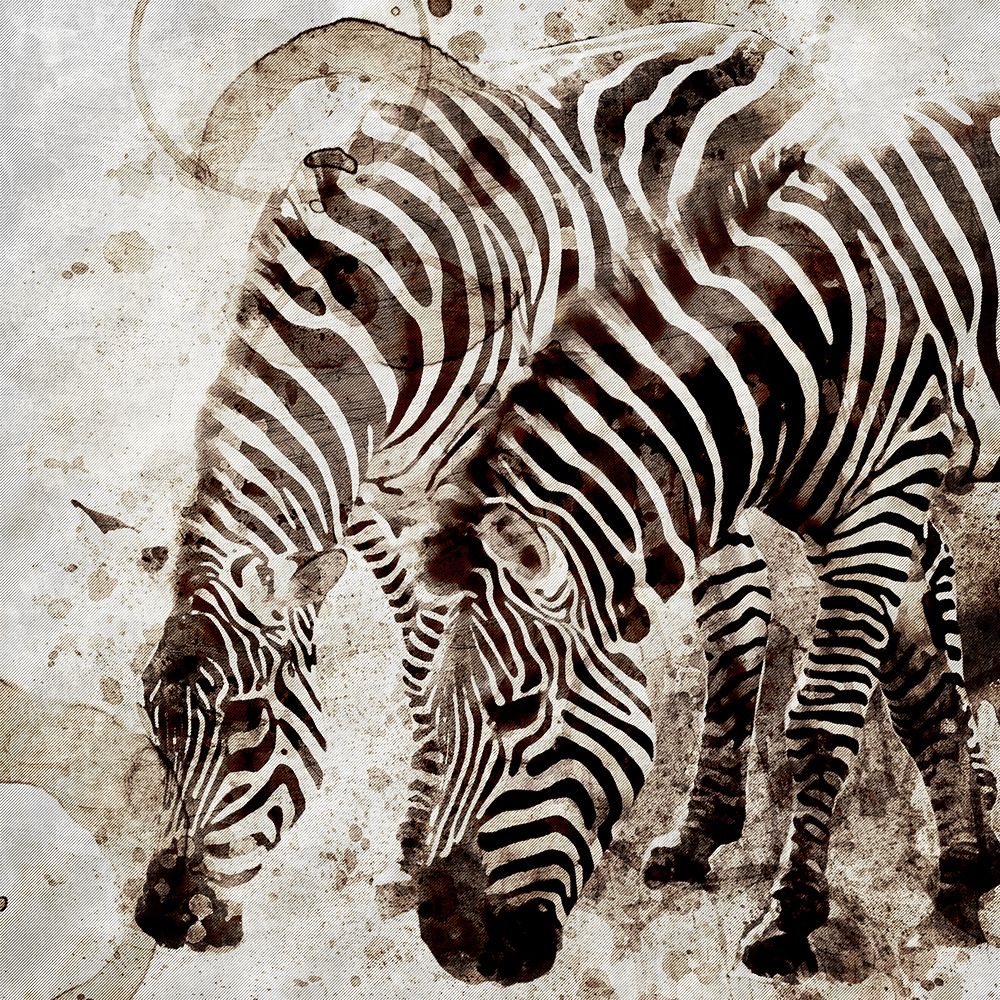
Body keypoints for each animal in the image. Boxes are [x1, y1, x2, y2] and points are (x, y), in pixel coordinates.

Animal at [130, 16, 1000, 982]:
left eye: (249, 726)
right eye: (155, 731)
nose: (164, 917)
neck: (348, 326)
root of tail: (754, 41)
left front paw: (413, 844)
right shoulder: (373, 502)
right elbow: (423, 663)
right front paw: (417, 836)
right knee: (777, 601)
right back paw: (721, 835)